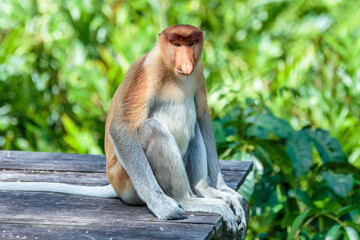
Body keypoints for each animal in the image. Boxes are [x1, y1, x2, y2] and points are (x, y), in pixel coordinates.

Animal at [0, 25, 248, 233]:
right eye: (177, 44)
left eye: (191, 44)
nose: (186, 63)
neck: (171, 71)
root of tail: (115, 185)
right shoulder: (147, 71)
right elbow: (122, 128)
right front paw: (163, 206)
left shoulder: (199, 71)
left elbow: (203, 117)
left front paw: (222, 188)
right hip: (128, 181)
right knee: (153, 129)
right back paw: (188, 201)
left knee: (195, 127)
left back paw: (206, 191)